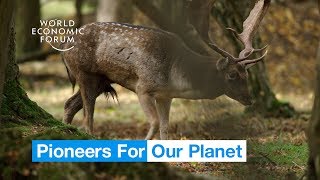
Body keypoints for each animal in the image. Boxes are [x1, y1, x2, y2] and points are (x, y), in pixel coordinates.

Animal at [62, 0, 270, 139]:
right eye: (232, 74)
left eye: (247, 74)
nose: (249, 99)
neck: (176, 77)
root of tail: (63, 45)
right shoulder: (143, 87)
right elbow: (154, 123)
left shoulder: (165, 96)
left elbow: (165, 127)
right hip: (84, 72)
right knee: (87, 116)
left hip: (101, 80)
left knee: (69, 104)